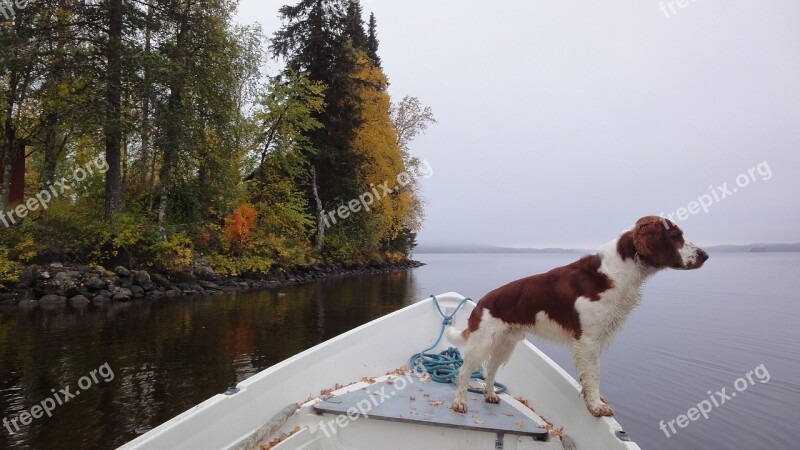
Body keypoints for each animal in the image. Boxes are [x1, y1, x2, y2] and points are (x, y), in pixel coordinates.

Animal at [446, 216, 708, 416]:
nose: (705, 255)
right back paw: (459, 403)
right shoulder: (588, 340)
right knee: (464, 371)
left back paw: (490, 394)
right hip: (482, 342)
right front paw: (597, 405)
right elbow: (593, 375)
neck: (616, 272)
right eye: (675, 236)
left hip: (506, 343)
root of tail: (482, 302)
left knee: (490, 369)